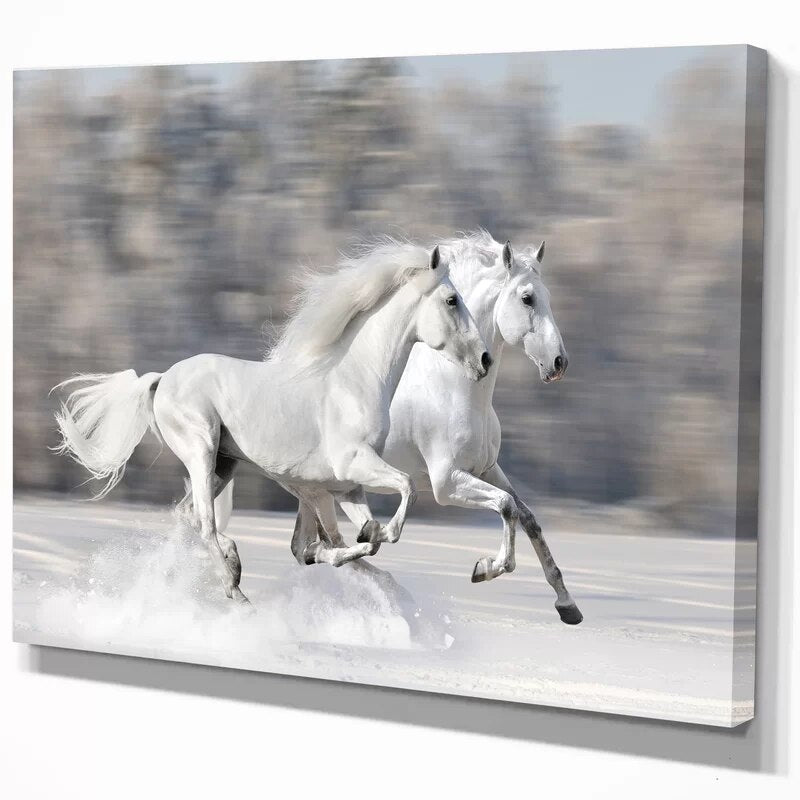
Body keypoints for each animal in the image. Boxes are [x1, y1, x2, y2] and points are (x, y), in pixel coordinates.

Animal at [53, 241, 490, 604]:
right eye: (452, 299)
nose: (484, 359)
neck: (354, 380)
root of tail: (161, 380)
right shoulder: (352, 466)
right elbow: (404, 493)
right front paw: (369, 538)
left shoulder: (346, 487)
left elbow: (349, 538)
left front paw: (363, 539)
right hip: (201, 450)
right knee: (205, 523)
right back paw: (234, 588)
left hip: (223, 465)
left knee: (190, 516)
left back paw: (229, 566)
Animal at [262, 231, 583, 624]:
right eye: (527, 298)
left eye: (547, 295)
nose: (558, 363)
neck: (456, 387)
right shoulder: (447, 482)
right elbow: (506, 507)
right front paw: (485, 568)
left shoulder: (488, 469)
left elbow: (528, 517)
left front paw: (568, 605)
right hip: (315, 489)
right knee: (324, 545)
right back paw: (393, 588)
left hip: (317, 489)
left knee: (307, 547)